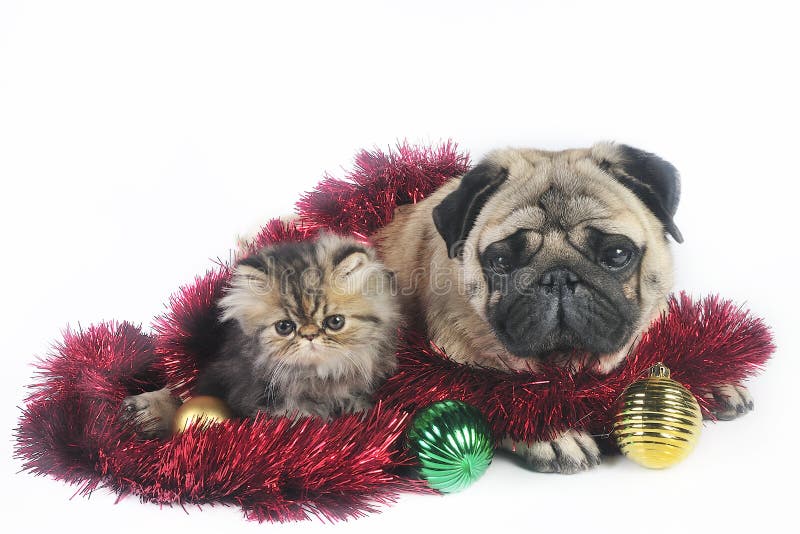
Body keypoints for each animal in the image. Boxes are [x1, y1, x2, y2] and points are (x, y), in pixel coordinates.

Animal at [374, 142, 752, 474]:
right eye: (501, 261)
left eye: (617, 254)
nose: (558, 277)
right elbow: (501, 398)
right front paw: (553, 434)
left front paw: (708, 373)